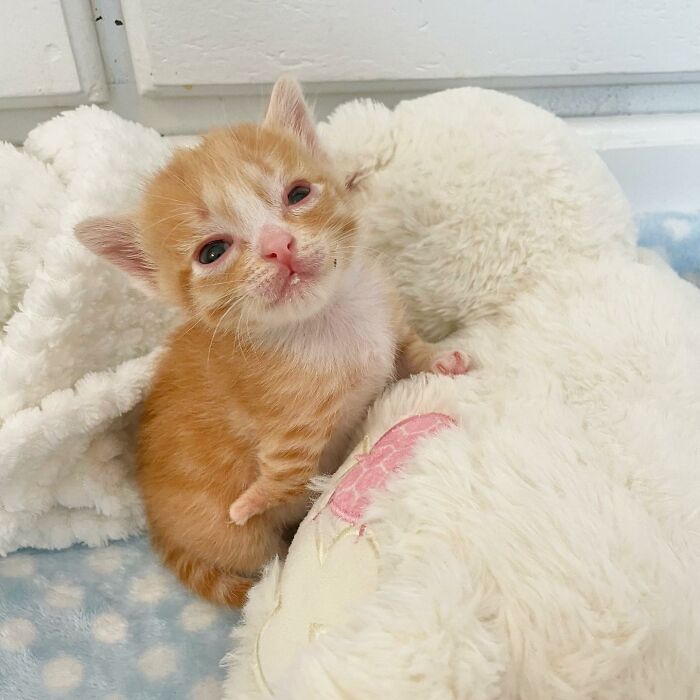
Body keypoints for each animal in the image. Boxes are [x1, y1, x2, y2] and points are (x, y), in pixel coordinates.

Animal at [75, 75, 470, 600]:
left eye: (298, 193)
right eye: (212, 252)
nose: (278, 245)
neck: (329, 317)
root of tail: (160, 533)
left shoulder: (389, 314)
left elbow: (412, 349)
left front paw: (443, 359)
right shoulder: (287, 431)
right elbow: (288, 473)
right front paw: (256, 500)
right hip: (232, 542)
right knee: (256, 556)